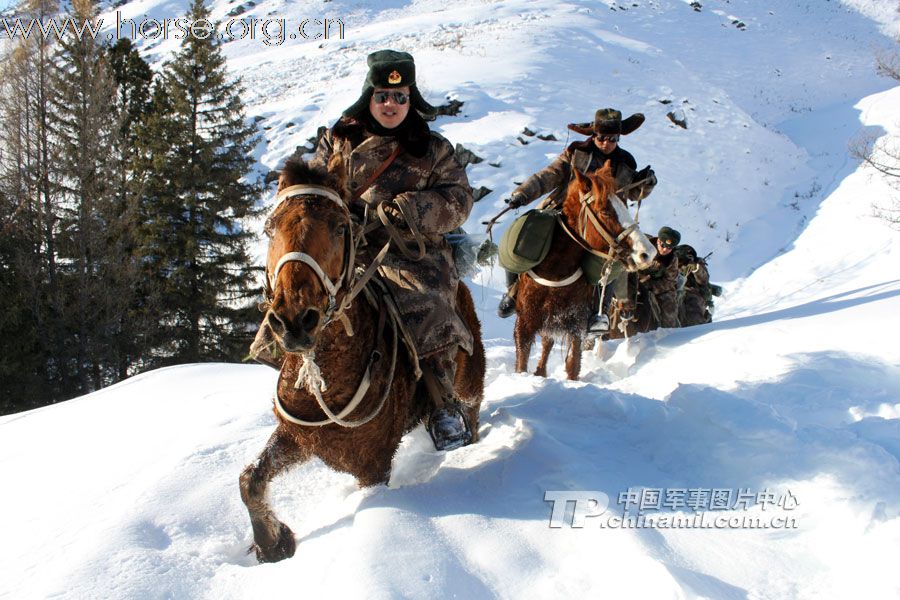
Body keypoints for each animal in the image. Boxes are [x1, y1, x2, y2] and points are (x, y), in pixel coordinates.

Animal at [241, 158, 486, 564]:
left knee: (470, 406)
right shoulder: (298, 437)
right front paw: (272, 544)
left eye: (341, 227)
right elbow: (250, 480)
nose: (294, 320)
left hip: (469, 381)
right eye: (269, 228)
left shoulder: (372, 466)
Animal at [512, 163, 652, 380]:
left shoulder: (576, 326)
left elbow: (573, 364)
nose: (647, 253)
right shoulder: (525, 323)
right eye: (605, 211)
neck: (556, 271)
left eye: (625, 204)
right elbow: (521, 362)